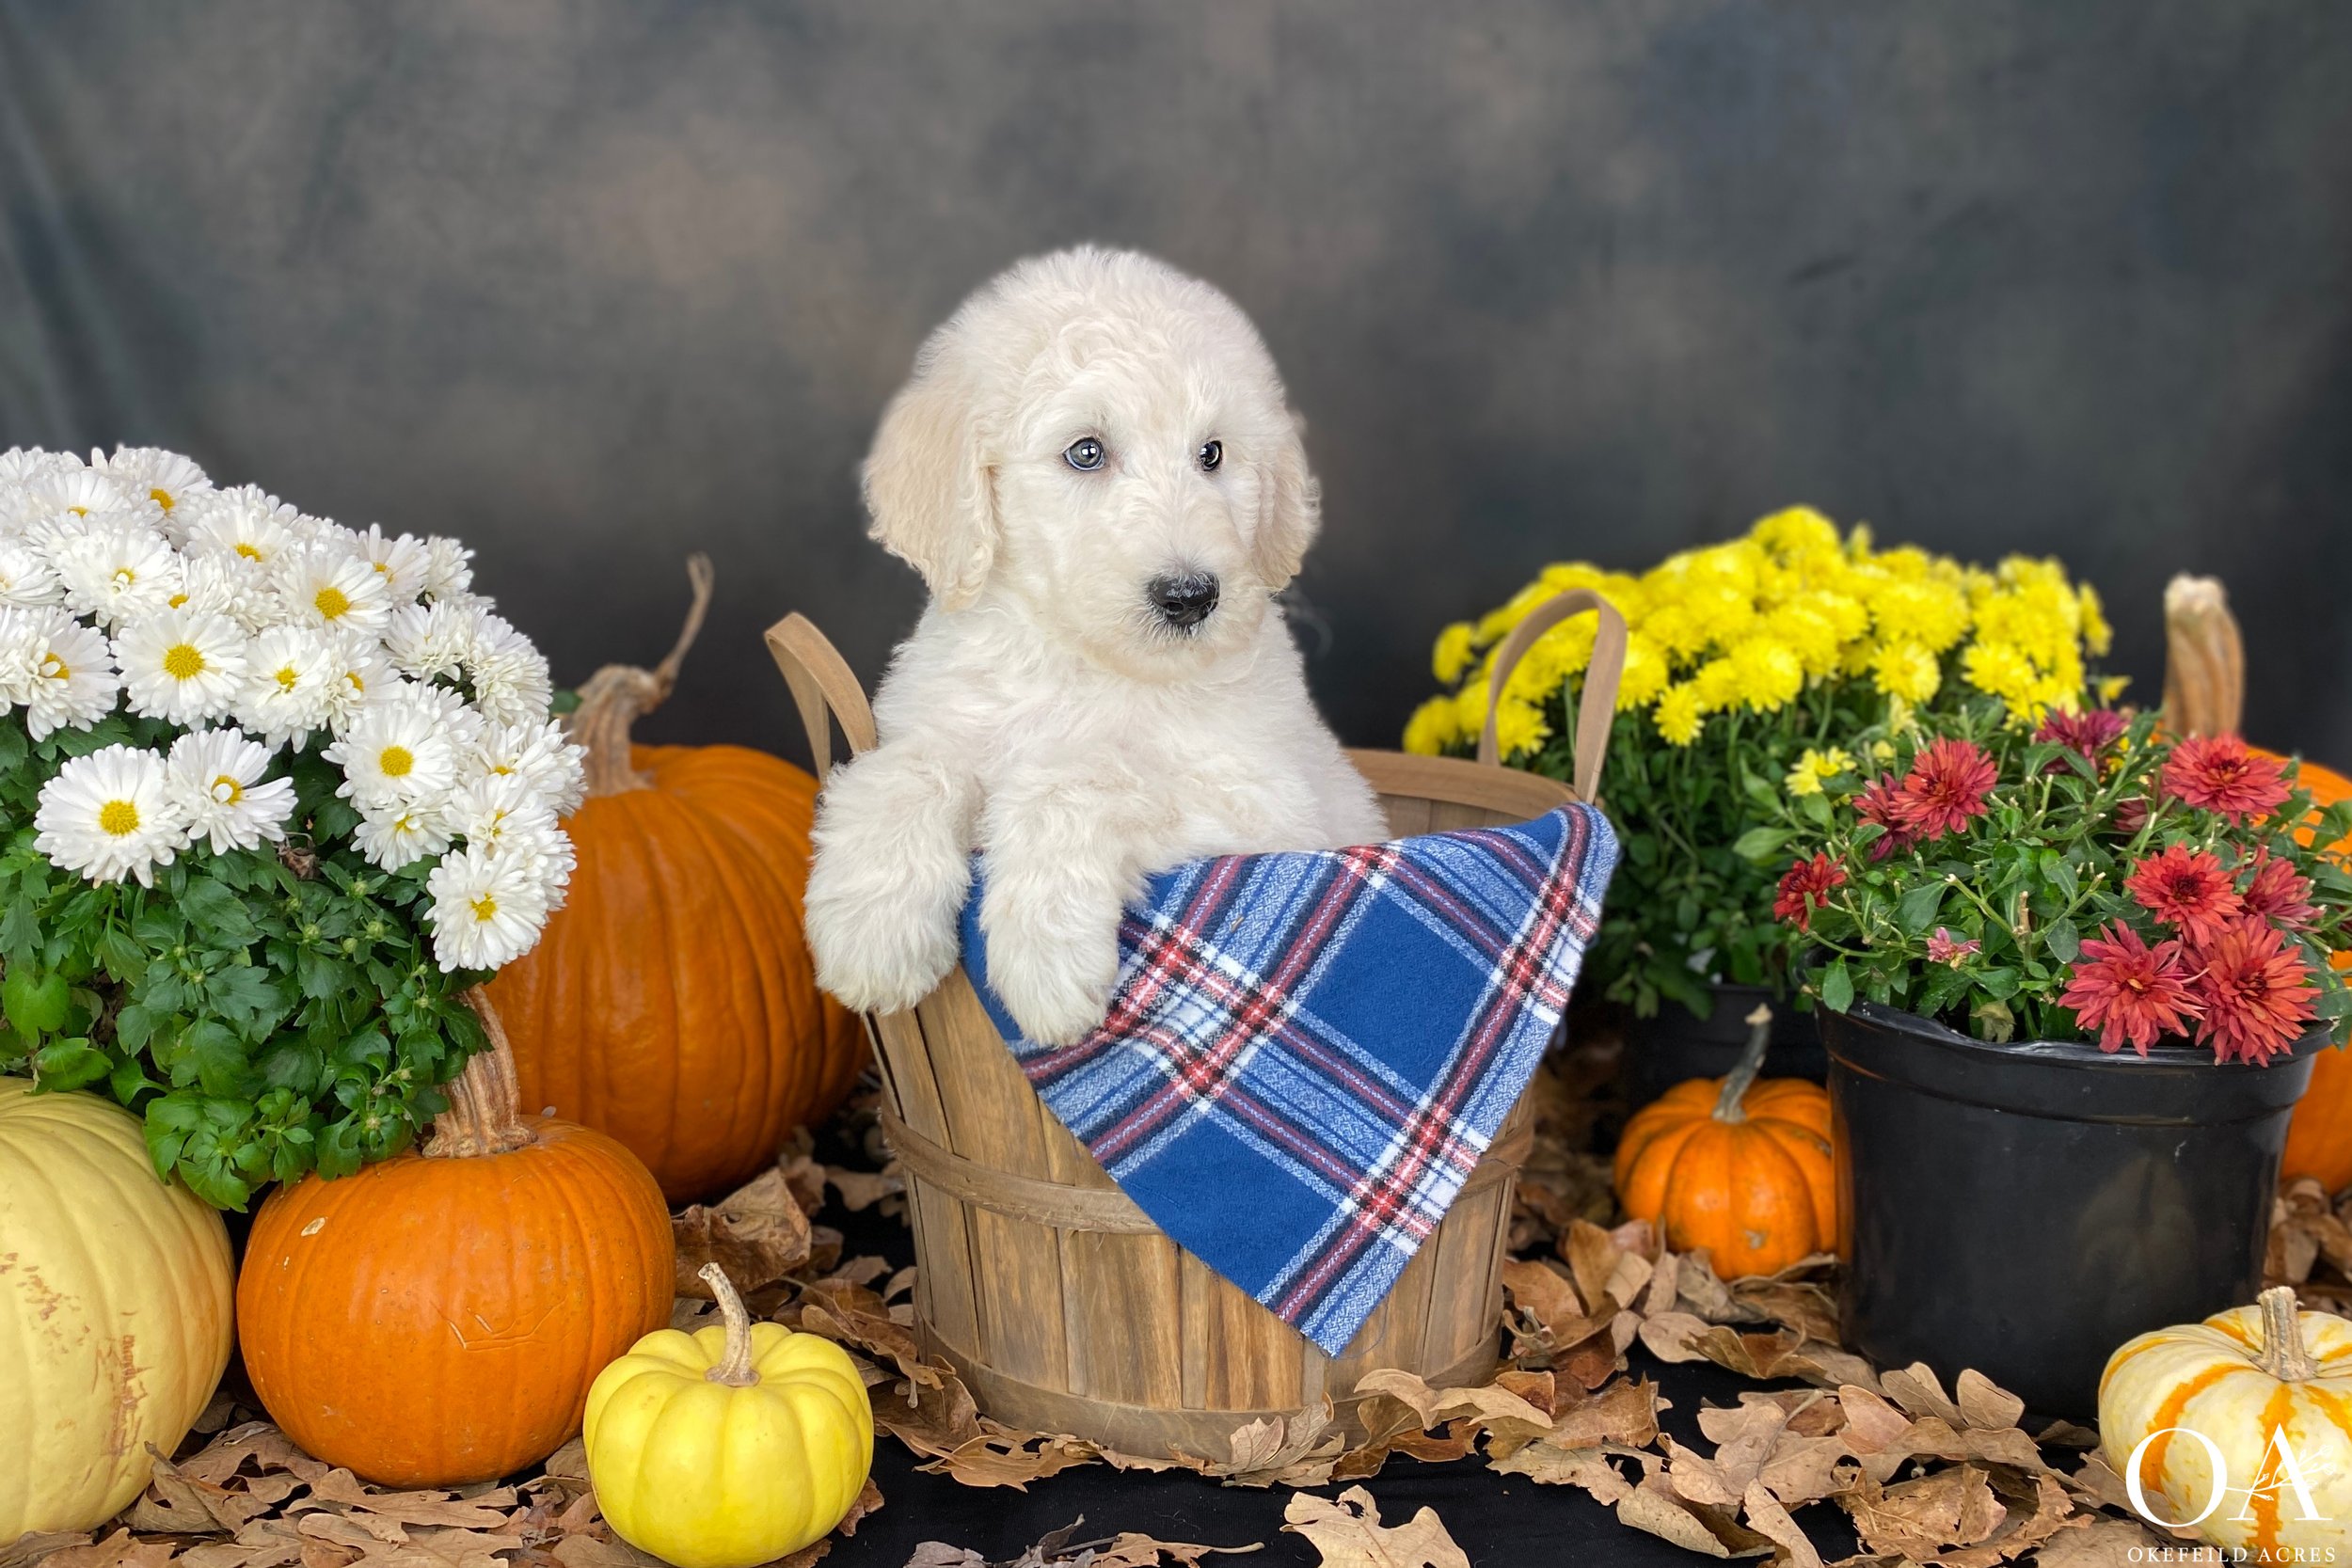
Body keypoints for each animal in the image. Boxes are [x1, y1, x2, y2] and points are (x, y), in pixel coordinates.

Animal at [814, 247, 1374, 1043]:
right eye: (1086, 452)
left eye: (1212, 453)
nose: (1190, 596)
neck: (1079, 660)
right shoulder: (943, 718)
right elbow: (909, 771)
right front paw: (873, 926)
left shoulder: (1266, 803)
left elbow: (1077, 778)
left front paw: (1043, 958)